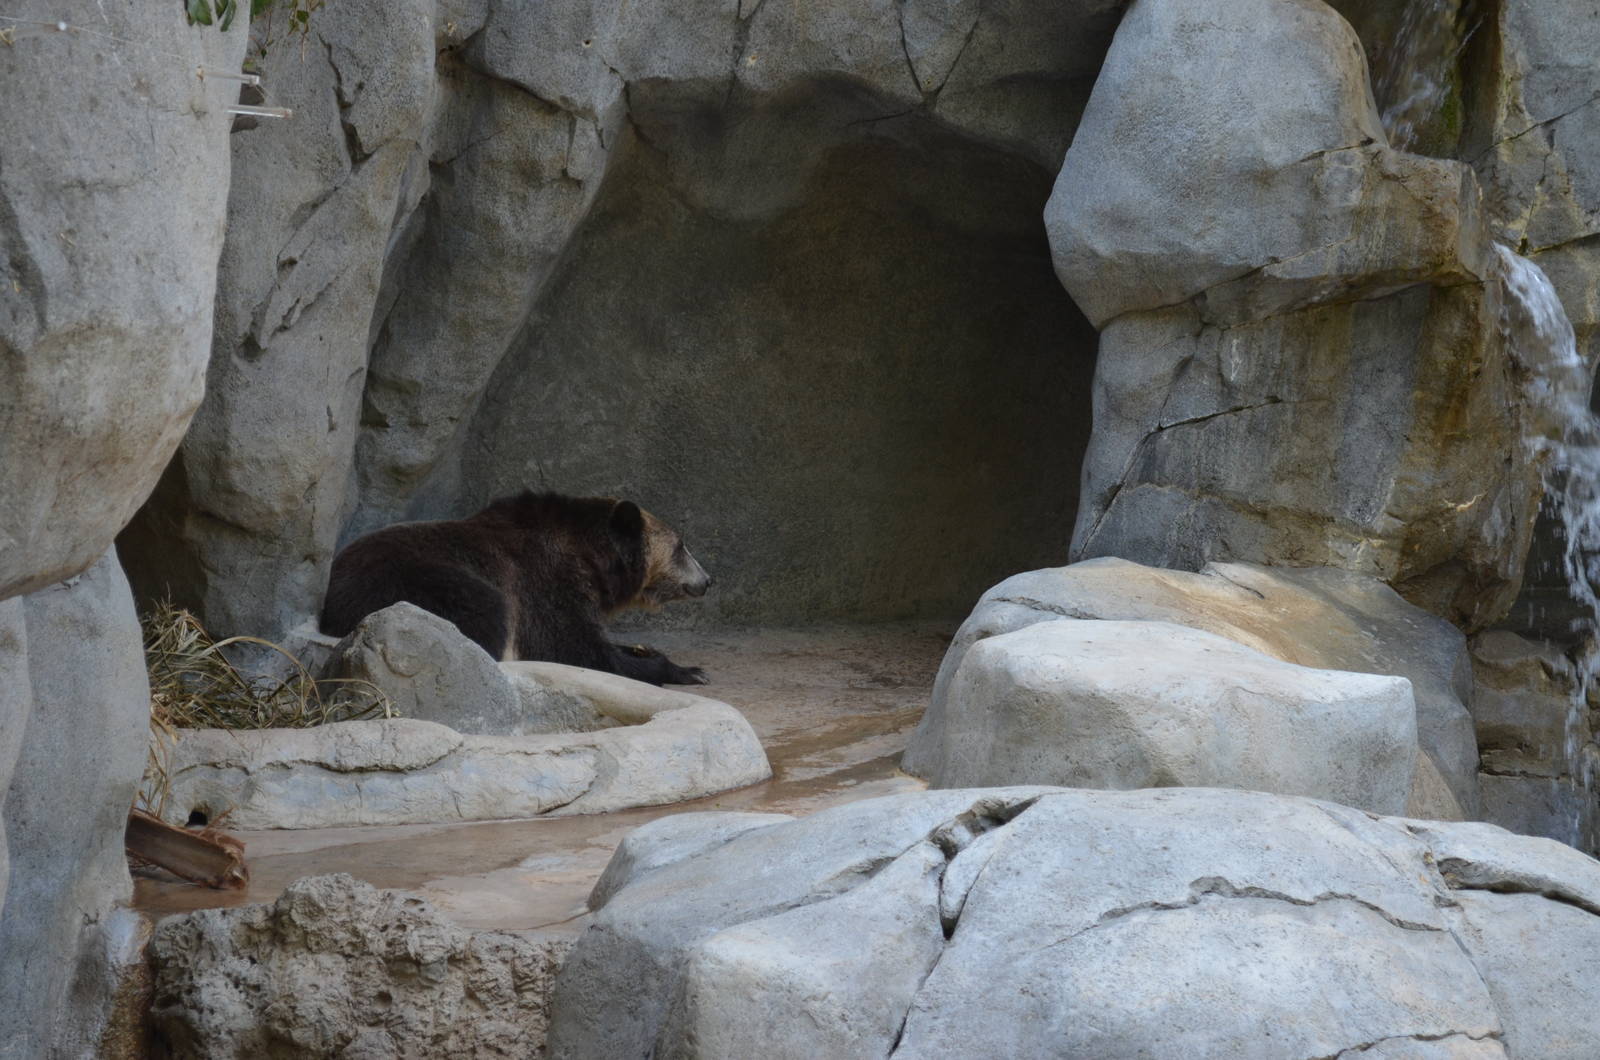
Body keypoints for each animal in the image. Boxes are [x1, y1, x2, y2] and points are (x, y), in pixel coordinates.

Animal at [320, 491, 712, 685]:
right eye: (681, 547)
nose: (707, 580)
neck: (593, 560)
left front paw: (654, 654)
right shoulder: (541, 584)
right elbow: (575, 647)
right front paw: (687, 671)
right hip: (407, 579)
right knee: (480, 606)